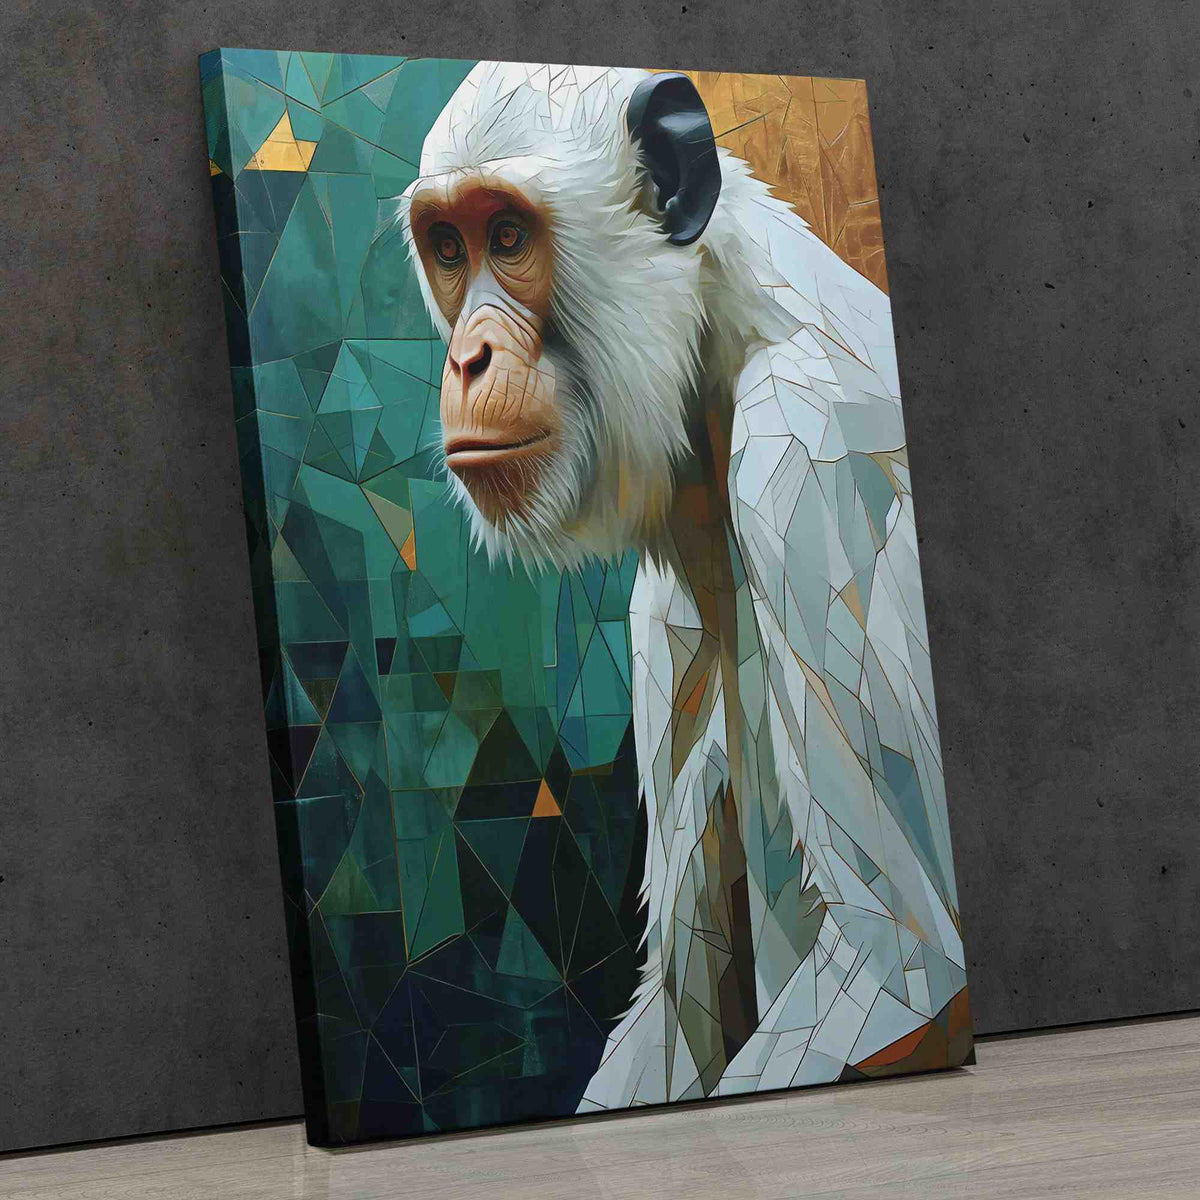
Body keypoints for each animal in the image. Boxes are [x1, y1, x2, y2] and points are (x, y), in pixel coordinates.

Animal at [399, 62, 969, 1108]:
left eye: (509, 236)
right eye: (449, 246)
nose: (468, 358)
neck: (724, 324)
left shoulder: (802, 462)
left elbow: (901, 970)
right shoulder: (658, 615)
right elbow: (671, 1005)